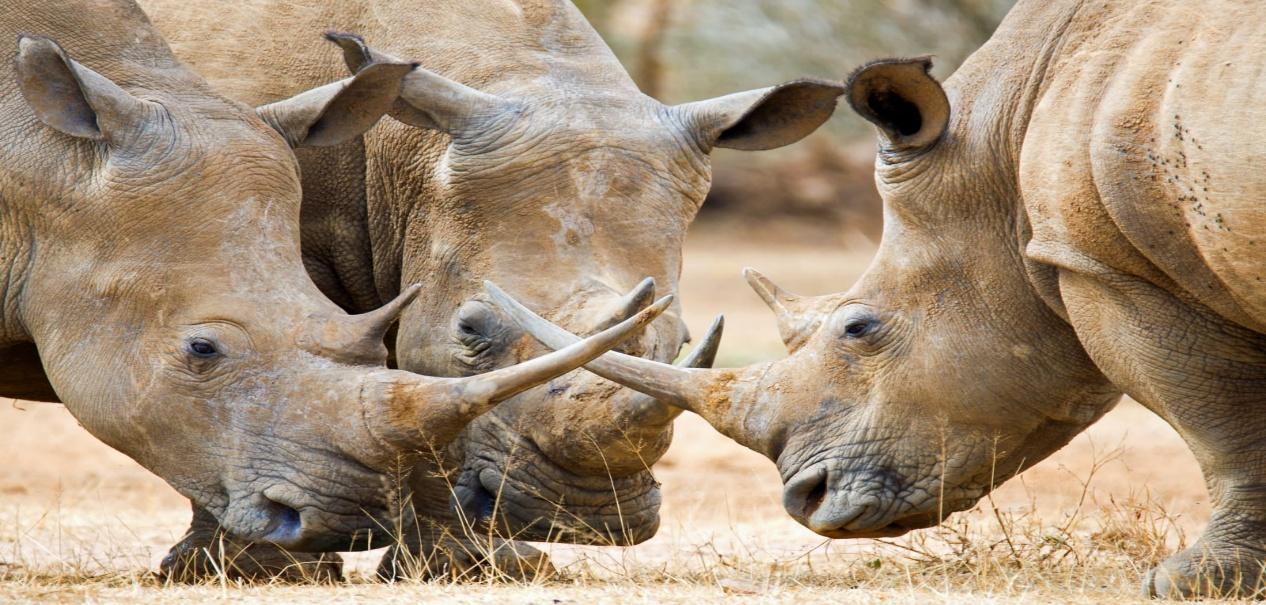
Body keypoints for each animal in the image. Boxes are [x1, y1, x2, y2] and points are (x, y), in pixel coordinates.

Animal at [134, 0, 846, 579]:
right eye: (472, 329)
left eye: (682, 343)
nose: (584, 516)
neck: (406, 154)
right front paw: (259, 572)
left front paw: (472, 568)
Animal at [492, 0, 1266, 598]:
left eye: (858, 329)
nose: (805, 497)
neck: (1001, 143)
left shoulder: (1112, 265)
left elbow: (1218, 425)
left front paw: (1189, 581)